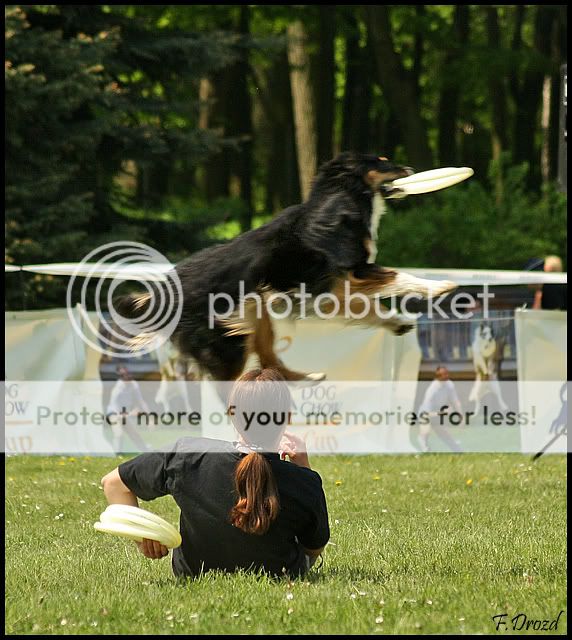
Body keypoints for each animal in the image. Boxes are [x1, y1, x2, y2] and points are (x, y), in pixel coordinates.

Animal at [118, 152, 457, 382]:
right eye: (383, 161)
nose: (410, 169)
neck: (344, 196)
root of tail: (163, 292)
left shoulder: (330, 292)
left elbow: (366, 307)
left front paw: (395, 321)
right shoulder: (353, 272)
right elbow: (397, 276)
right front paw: (440, 286)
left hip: (256, 315)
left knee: (270, 362)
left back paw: (307, 379)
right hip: (228, 342)